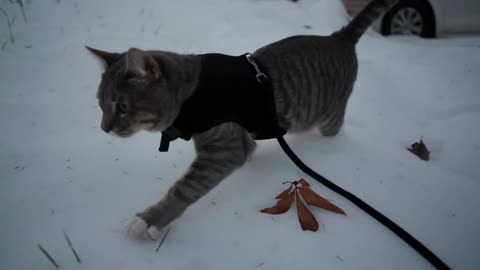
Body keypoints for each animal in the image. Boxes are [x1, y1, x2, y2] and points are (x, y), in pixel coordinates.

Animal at [86, 0, 398, 240]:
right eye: (100, 104)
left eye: (122, 106)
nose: (103, 128)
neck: (191, 92)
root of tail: (339, 36)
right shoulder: (241, 143)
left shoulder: (225, 150)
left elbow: (183, 189)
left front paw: (150, 219)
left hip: (328, 117)